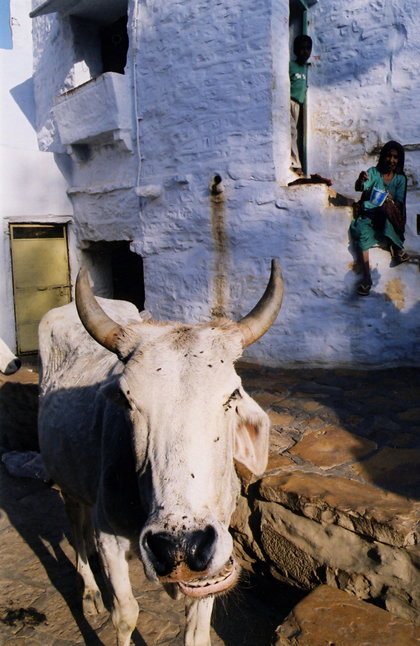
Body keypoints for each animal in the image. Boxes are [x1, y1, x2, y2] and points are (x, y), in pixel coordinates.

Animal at [37, 262, 284, 646]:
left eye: (231, 396)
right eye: (127, 400)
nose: (179, 546)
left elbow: (197, 634)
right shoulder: (109, 537)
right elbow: (125, 615)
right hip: (66, 480)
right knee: (75, 524)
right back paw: (89, 590)